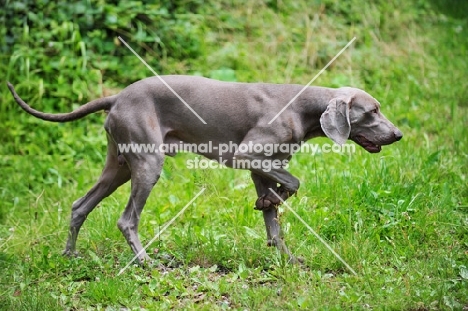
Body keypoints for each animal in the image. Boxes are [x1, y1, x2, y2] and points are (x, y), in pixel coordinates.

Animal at [7, 77, 402, 264]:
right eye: (372, 111)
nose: (398, 135)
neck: (302, 107)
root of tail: (117, 96)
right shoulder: (246, 156)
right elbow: (293, 183)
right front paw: (275, 200)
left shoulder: (263, 167)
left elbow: (274, 221)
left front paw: (287, 257)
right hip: (148, 165)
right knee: (126, 220)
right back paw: (146, 261)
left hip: (119, 166)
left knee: (79, 206)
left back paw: (70, 256)